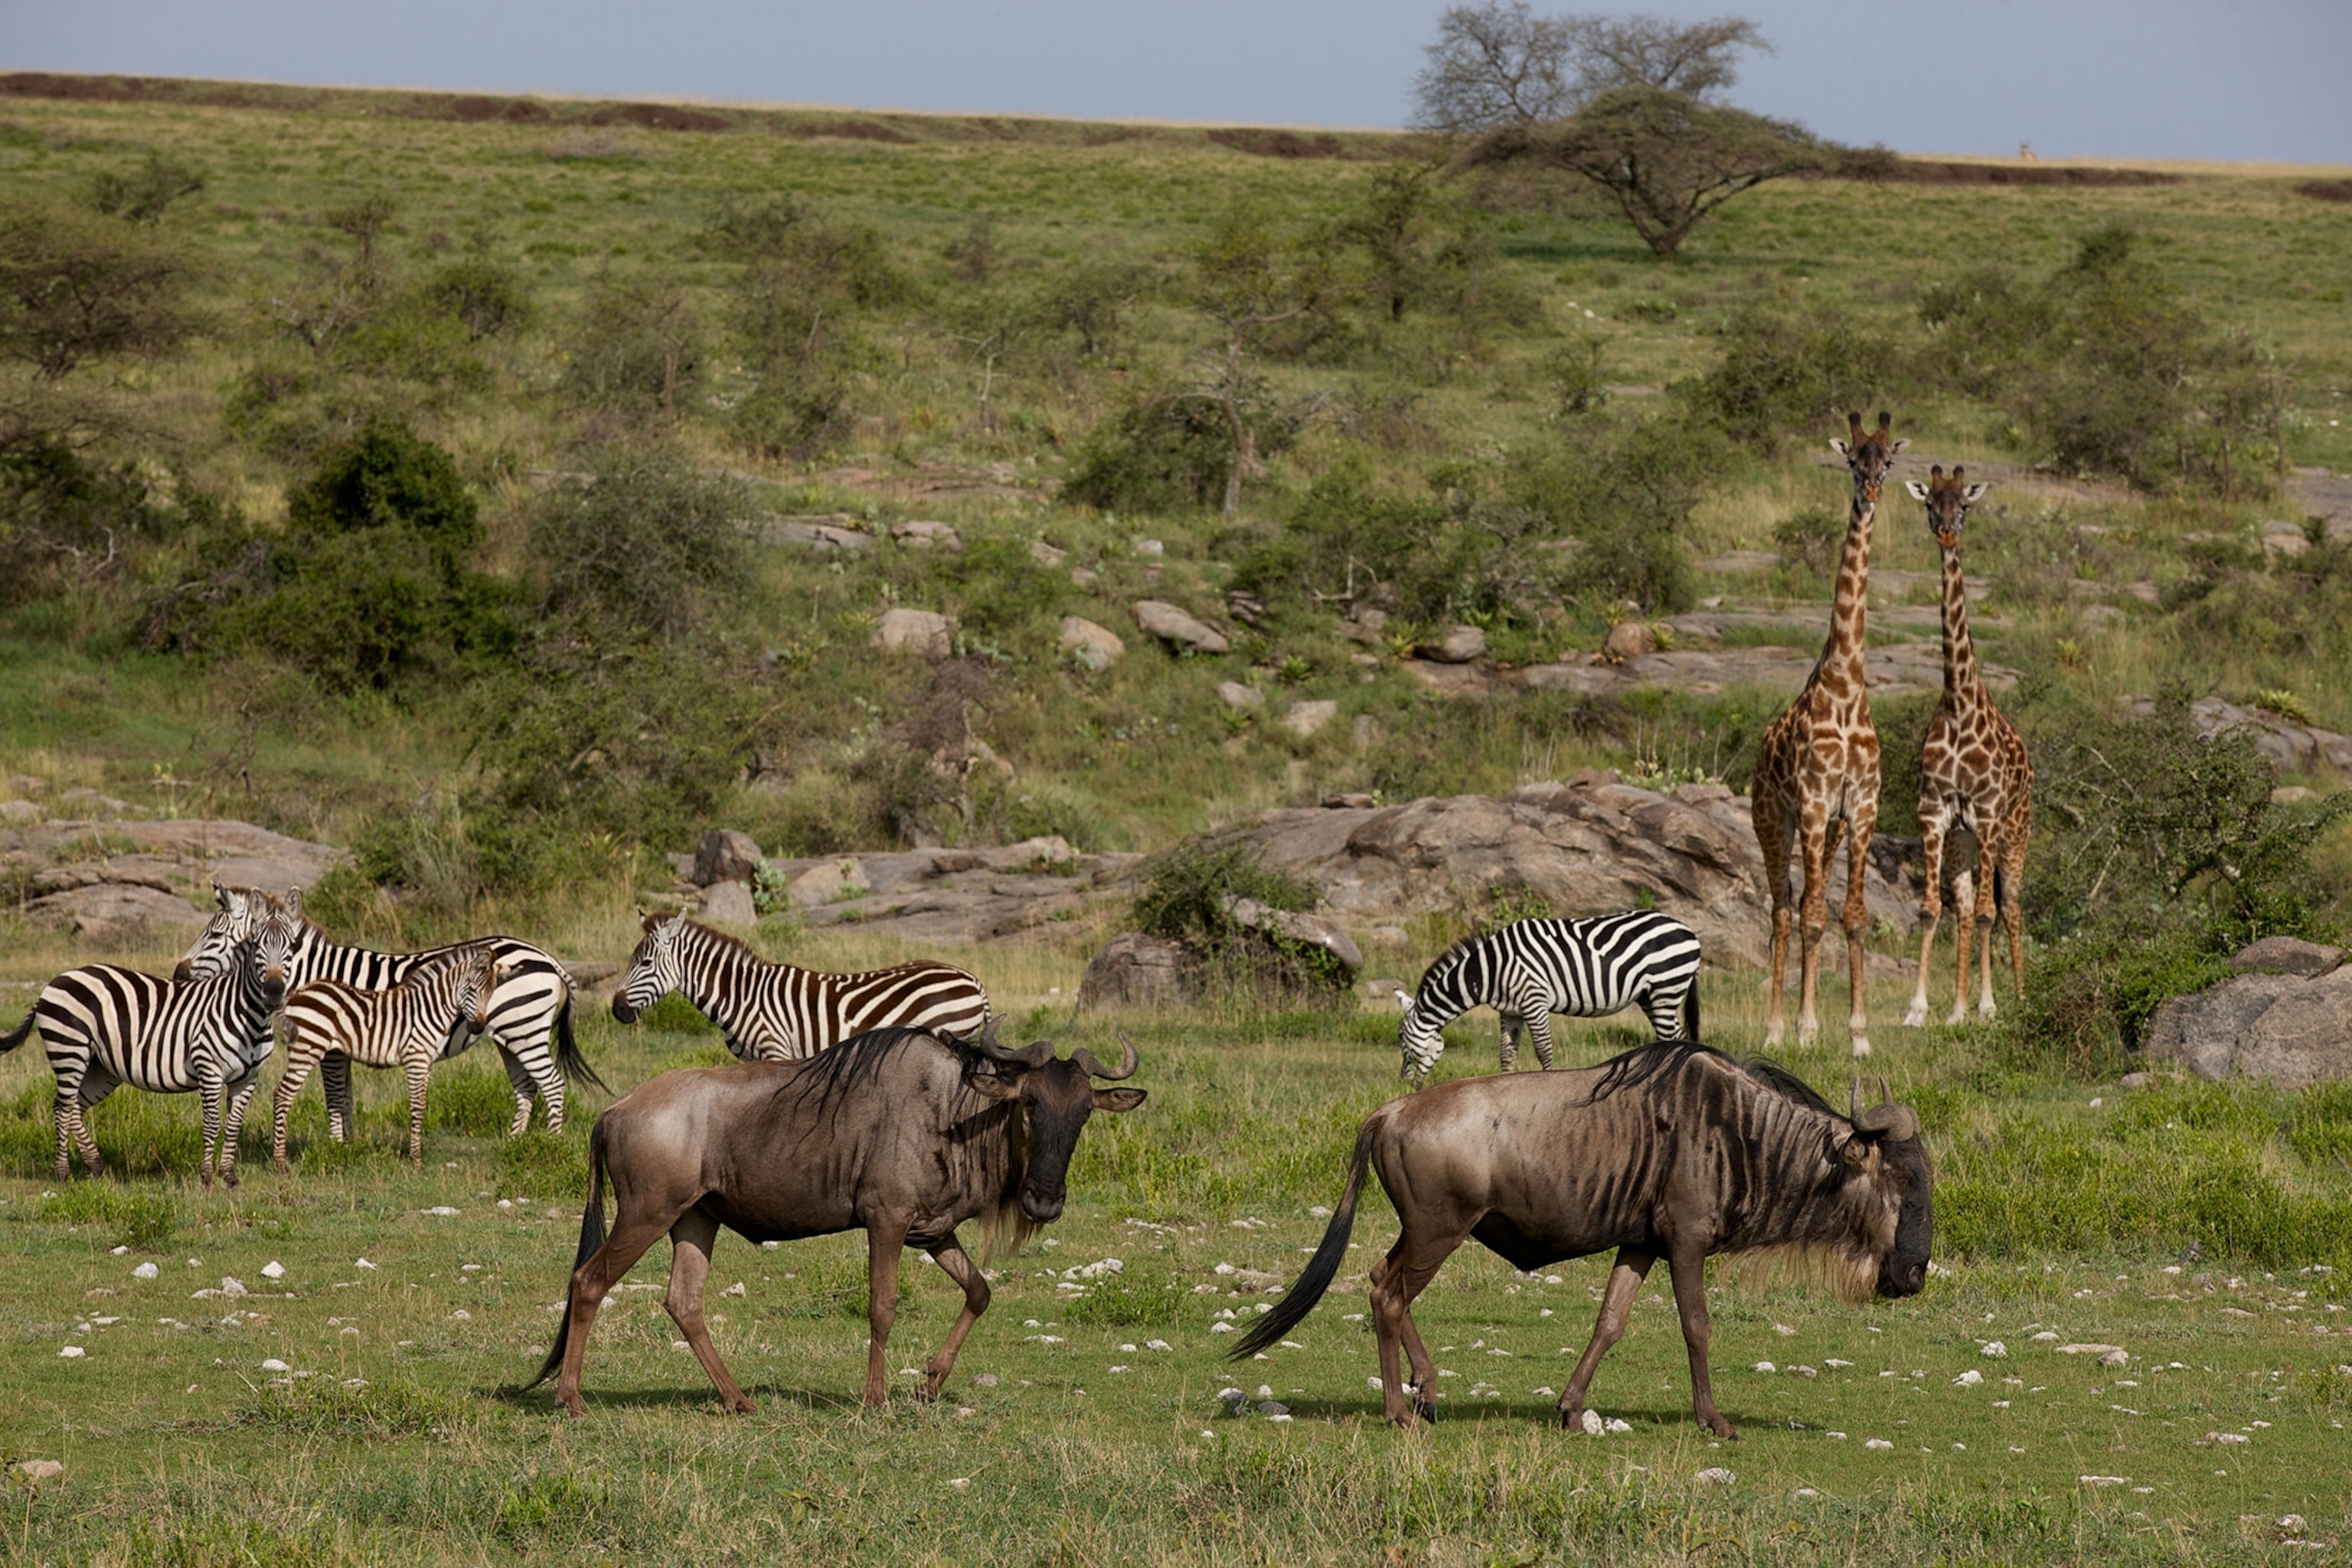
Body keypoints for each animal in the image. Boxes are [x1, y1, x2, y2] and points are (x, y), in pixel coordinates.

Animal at [2, 896, 300, 1187]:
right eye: (258, 945)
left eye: (292, 947)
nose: (274, 993)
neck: (249, 1015)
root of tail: (54, 982)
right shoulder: (209, 1068)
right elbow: (212, 1123)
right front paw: (206, 1177)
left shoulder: (248, 1078)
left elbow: (234, 1124)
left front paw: (229, 1176)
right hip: (68, 1050)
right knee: (62, 1107)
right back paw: (63, 1173)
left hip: (100, 1066)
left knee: (74, 1105)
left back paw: (95, 1165)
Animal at [177, 885, 606, 1137]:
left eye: (214, 935)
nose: (178, 974)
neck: (312, 971)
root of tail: (547, 957)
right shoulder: (343, 1044)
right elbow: (346, 1096)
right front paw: (349, 1146)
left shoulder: (331, 1047)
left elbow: (335, 1095)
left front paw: (336, 1146)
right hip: (510, 1035)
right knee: (527, 1087)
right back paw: (516, 1143)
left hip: (525, 1029)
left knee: (552, 1084)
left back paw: (548, 1145)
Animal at [273, 942, 505, 1169]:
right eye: (473, 989)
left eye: (491, 993)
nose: (478, 1027)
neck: (431, 1008)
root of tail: (297, 994)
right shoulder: (416, 1059)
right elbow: (417, 1106)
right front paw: (416, 1160)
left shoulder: (427, 1062)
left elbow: (422, 1104)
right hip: (306, 1048)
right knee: (282, 1094)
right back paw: (280, 1162)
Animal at [1395, 911, 1703, 1083]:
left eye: (1400, 1038)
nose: (1402, 1084)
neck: (1489, 969)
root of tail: (1688, 929)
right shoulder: (1510, 1011)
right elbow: (1507, 1053)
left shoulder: (1534, 1000)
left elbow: (1544, 1050)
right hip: (1652, 996)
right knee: (1678, 1036)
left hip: (1666, 989)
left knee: (1672, 1037)